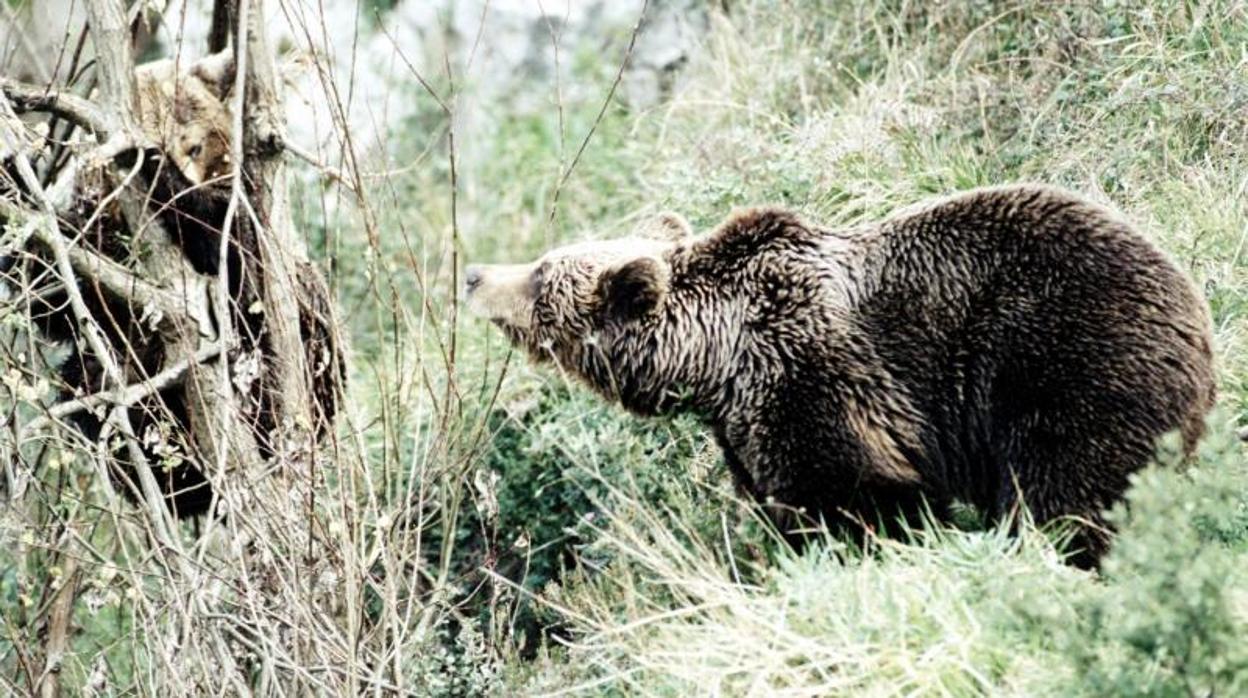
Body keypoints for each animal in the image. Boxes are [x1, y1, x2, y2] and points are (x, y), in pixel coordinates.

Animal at [464, 186, 1213, 569]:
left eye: (541, 274)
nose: (473, 273)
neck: (714, 359)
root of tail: (1193, 309)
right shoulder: (740, 420)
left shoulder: (810, 377)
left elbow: (852, 494)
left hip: (1061, 359)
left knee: (1068, 492)